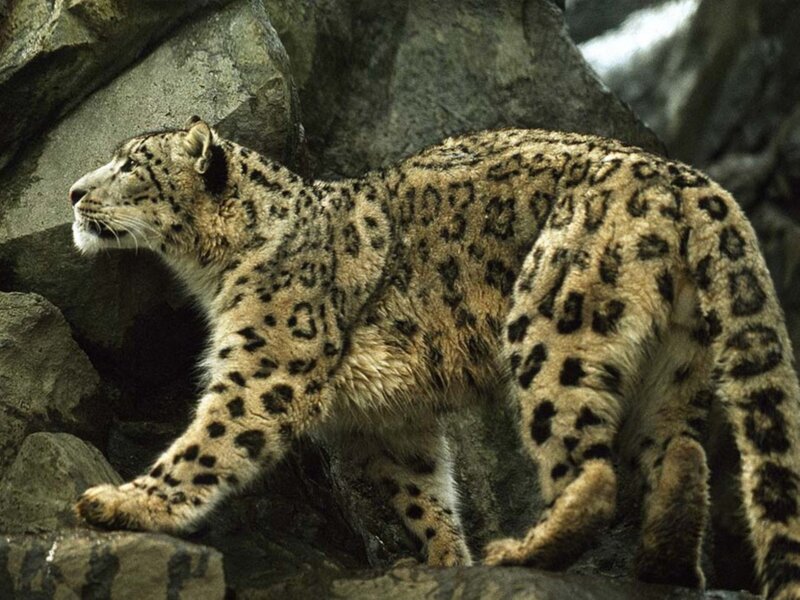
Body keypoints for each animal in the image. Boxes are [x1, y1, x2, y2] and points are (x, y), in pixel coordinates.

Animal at [69, 116, 800, 598]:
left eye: (130, 166)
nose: (75, 192)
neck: (216, 273)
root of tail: (692, 181)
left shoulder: (266, 366)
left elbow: (208, 444)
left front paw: (123, 505)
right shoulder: (395, 416)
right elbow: (422, 490)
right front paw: (449, 560)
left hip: (553, 323)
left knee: (591, 473)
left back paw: (523, 550)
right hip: (676, 361)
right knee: (681, 453)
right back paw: (662, 562)